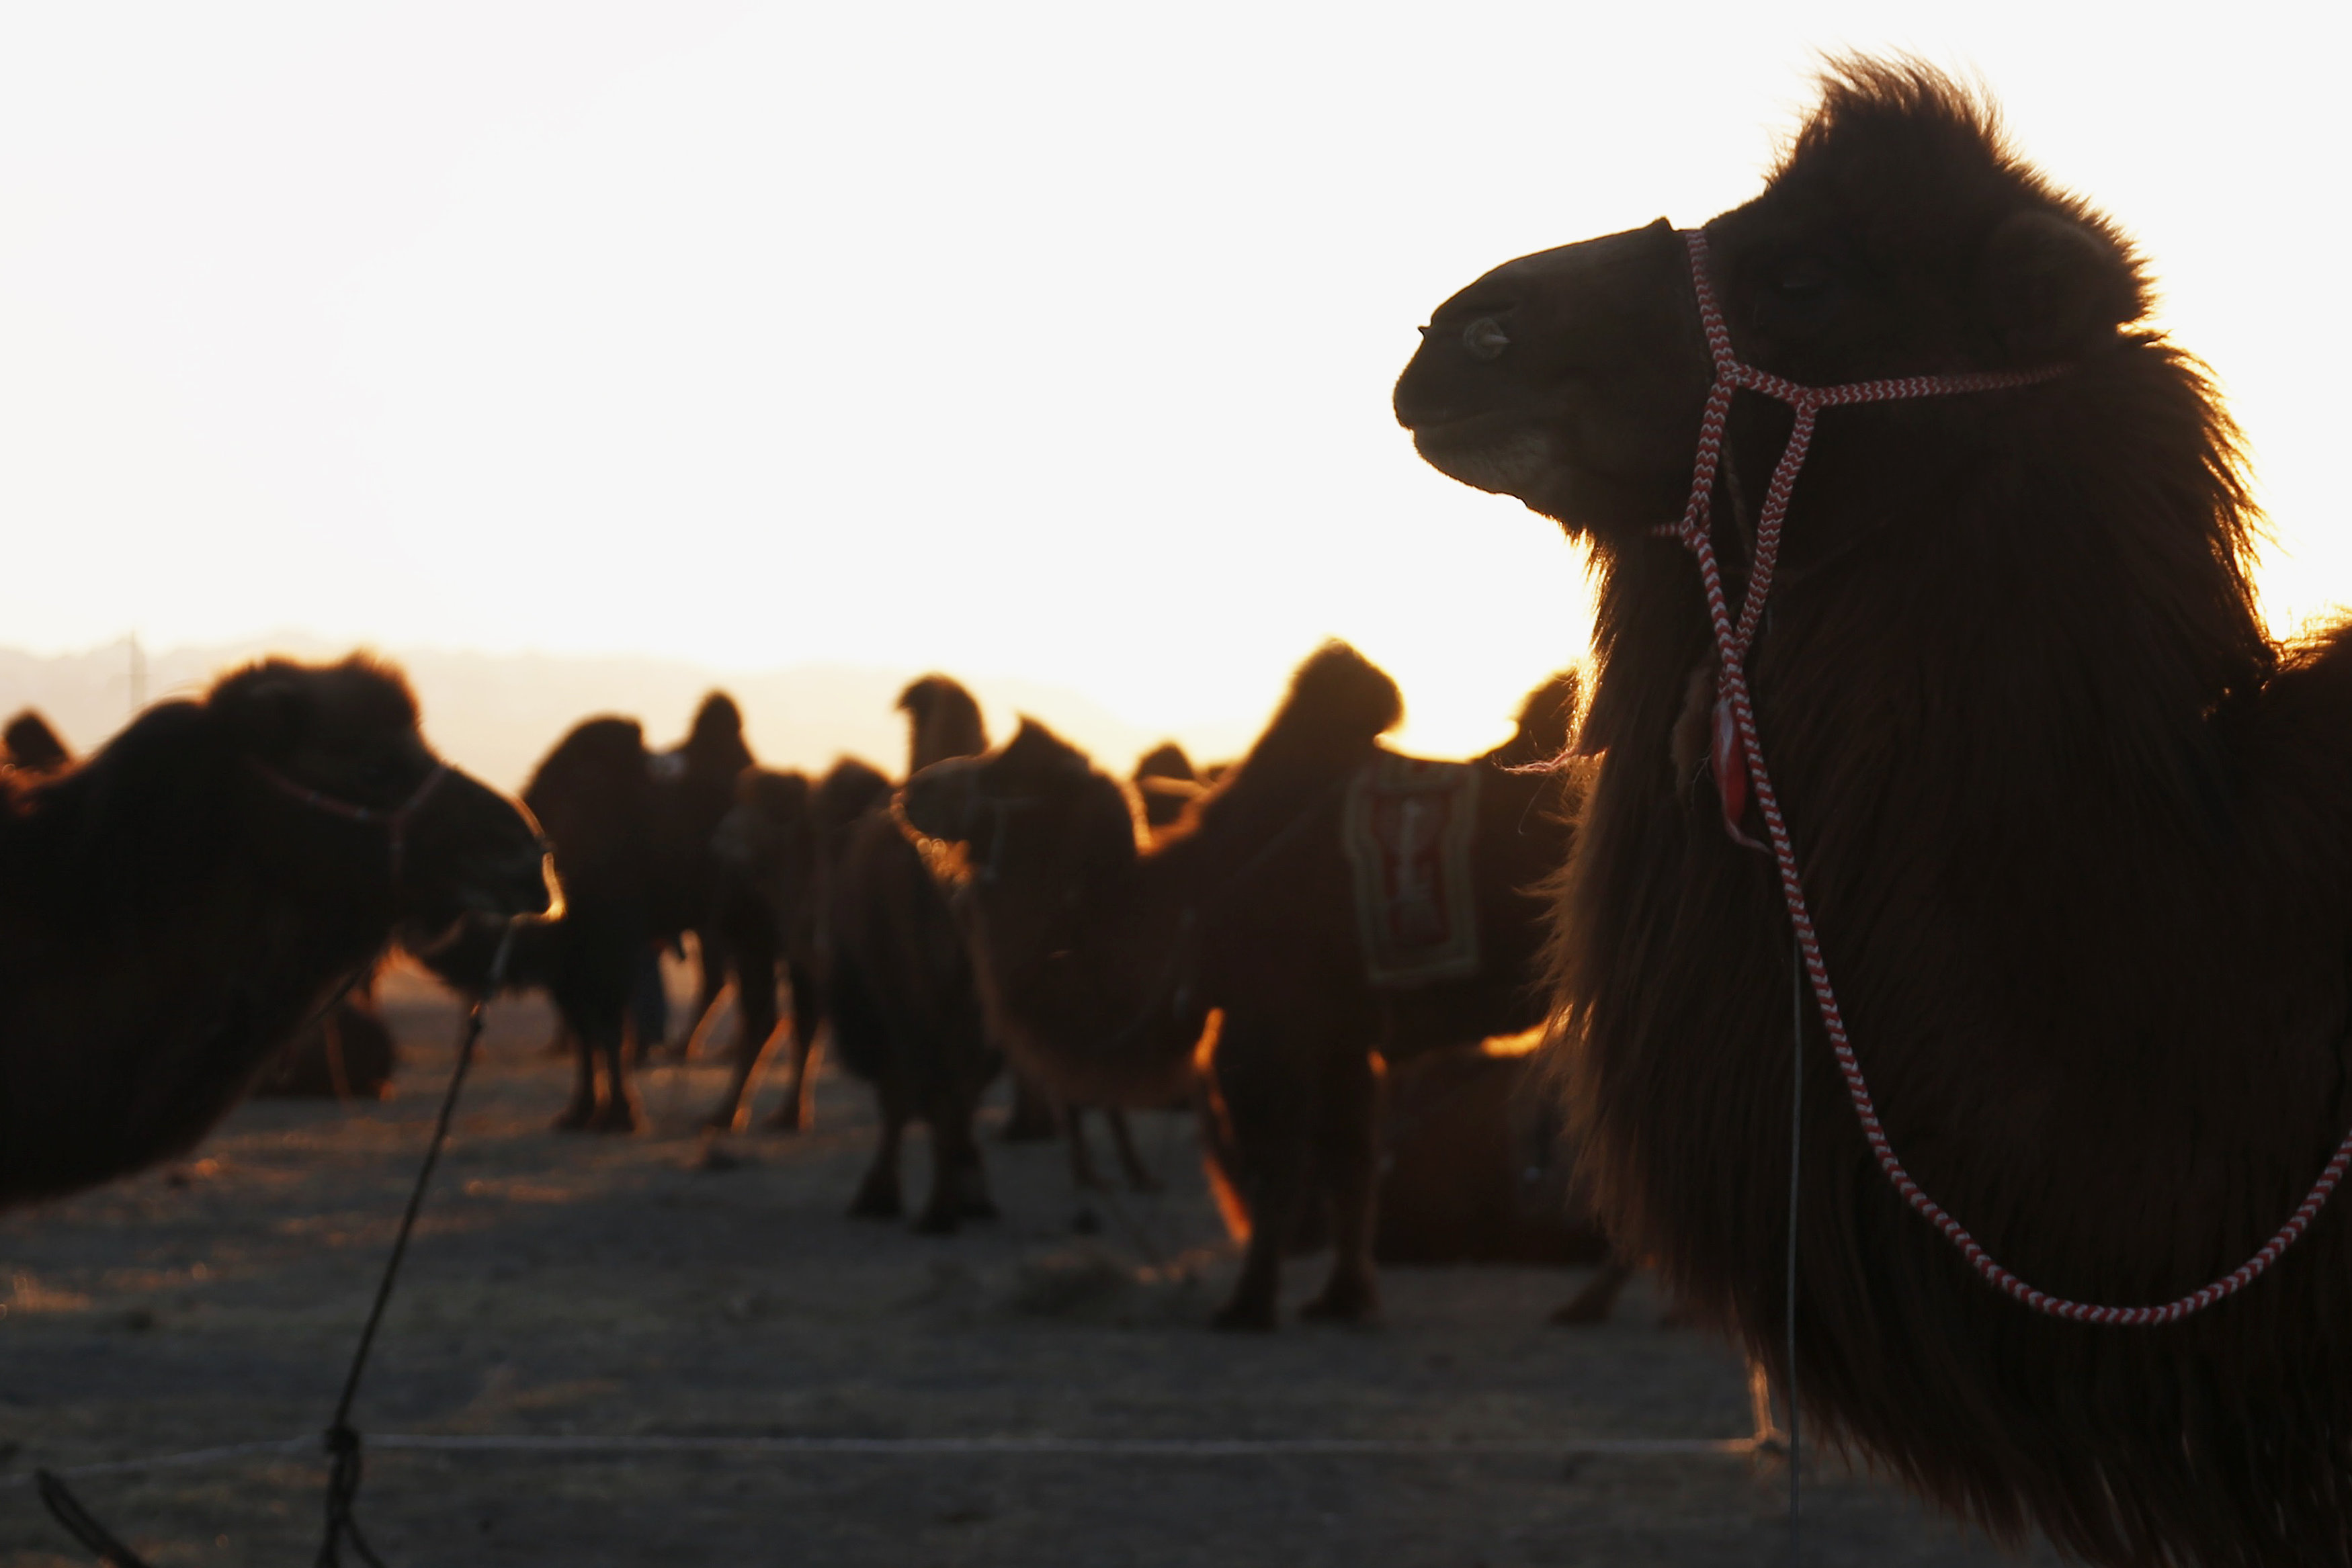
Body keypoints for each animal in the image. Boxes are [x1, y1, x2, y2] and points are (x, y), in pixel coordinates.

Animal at [898, 644, 1581, 1335]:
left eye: (1008, 773)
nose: (916, 787)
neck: (1189, 898)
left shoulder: (1271, 1022)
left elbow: (1272, 1165)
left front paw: (1246, 1306)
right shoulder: (1336, 1034)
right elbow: (1350, 1162)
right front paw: (1341, 1299)